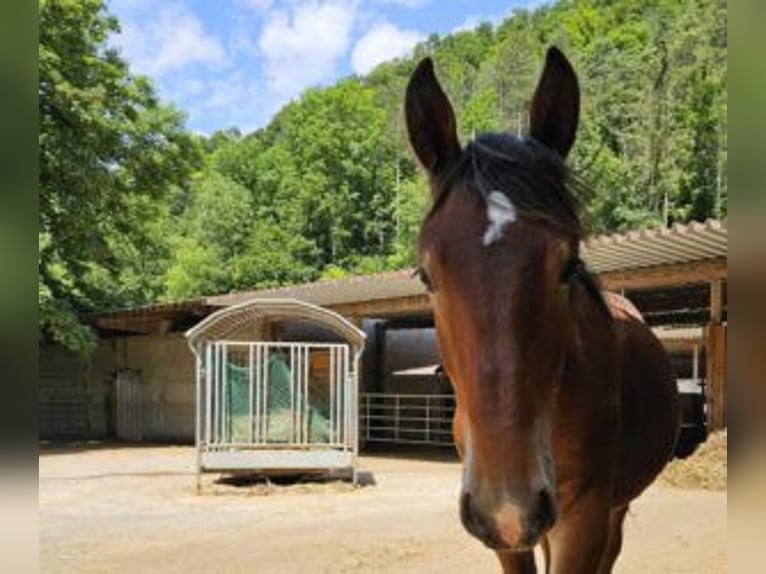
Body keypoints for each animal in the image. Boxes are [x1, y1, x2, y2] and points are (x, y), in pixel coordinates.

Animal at [404, 47, 680, 572]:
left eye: (569, 265)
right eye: (427, 275)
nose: (507, 503)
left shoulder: (585, 516)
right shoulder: (506, 535)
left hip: (608, 509)